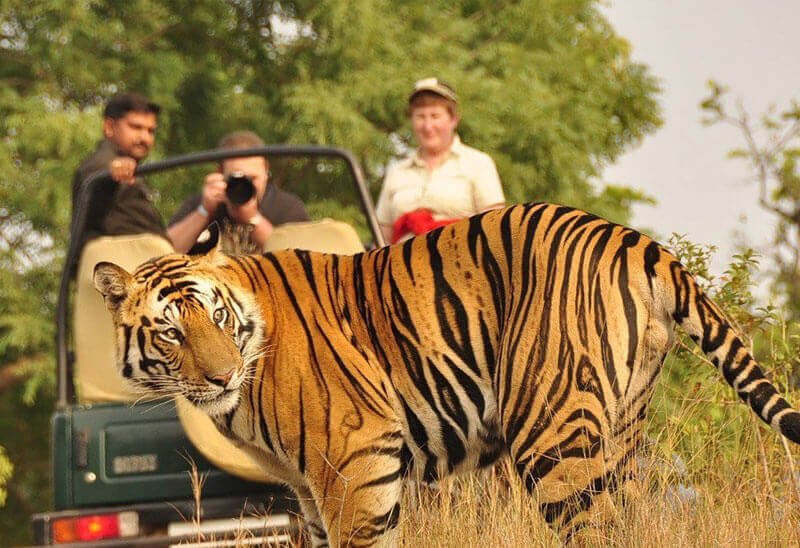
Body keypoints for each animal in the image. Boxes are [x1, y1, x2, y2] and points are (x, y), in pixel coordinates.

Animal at [94, 203, 800, 544]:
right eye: (171, 331)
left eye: (215, 316)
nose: (220, 377)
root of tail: (638, 241)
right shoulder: (309, 490)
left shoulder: (354, 459)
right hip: (621, 431)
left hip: (552, 437)